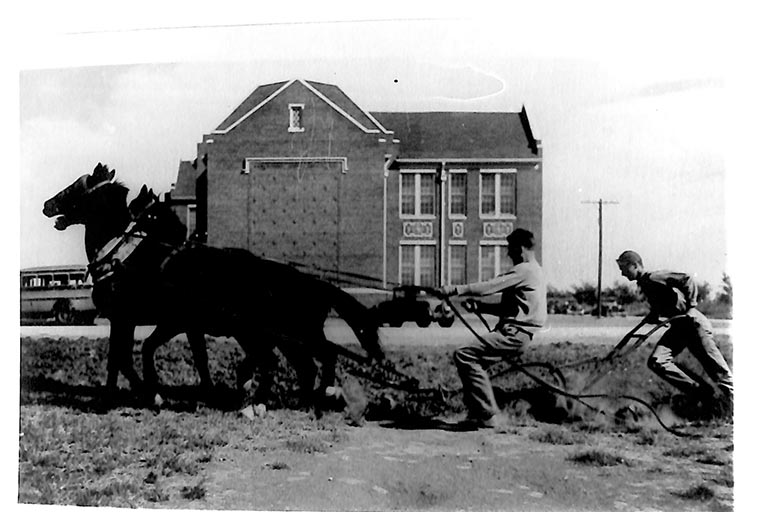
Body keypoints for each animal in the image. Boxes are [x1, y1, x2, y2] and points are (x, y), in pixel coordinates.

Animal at [43, 164, 384, 408]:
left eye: (76, 188)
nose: (47, 204)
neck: (131, 259)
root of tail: (312, 283)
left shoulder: (139, 319)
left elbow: (127, 357)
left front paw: (145, 395)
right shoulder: (171, 323)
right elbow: (184, 357)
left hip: (272, 332)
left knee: (296, 360)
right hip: (280, 334)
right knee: (304, 364)